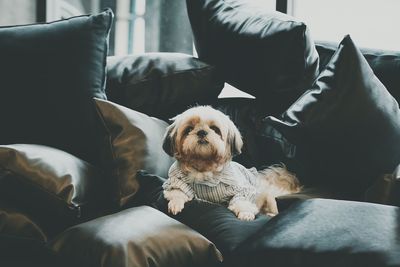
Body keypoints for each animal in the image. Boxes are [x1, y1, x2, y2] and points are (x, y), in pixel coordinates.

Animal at [161, 105, 302, 221]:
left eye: (215, 129)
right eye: (189, 129)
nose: (201, 132)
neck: (204, 167)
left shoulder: (242, 189)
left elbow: (243, 202)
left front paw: (246, 213)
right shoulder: (177, 181)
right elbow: (177, 192)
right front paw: (175, 203)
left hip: (270, 197)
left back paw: (271, 214)